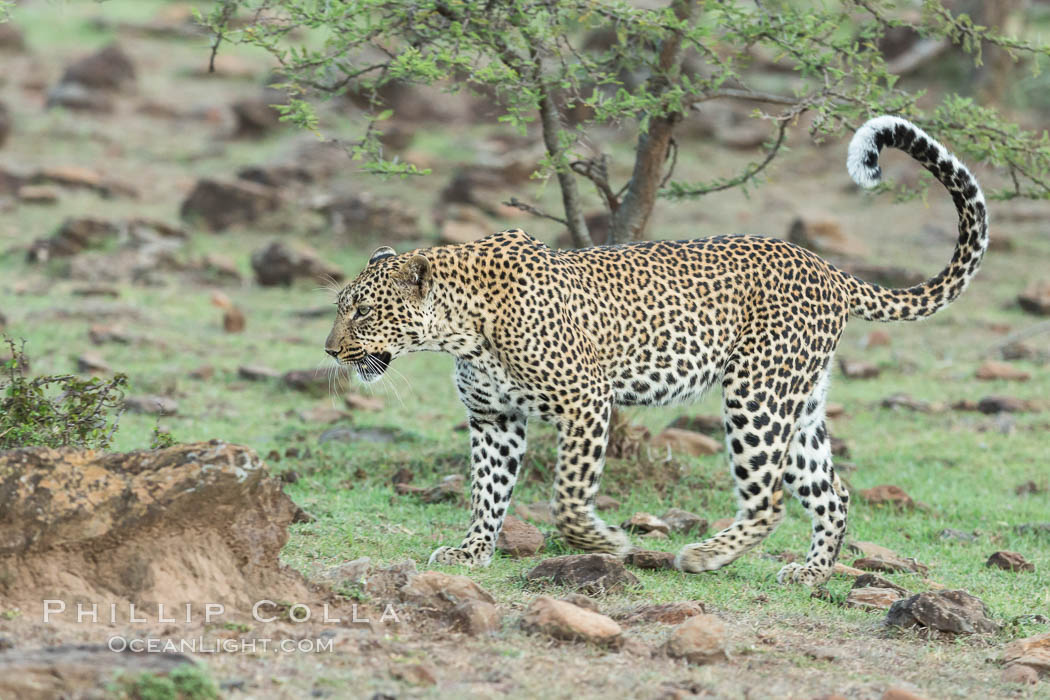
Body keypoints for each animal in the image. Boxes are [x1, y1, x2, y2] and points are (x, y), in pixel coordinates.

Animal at [323, 117, 986, 587]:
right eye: (341, 305)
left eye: (363, 311)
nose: (329, 351)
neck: (462, 328)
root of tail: (828, 269)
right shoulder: (494, 418)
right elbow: (487, 490)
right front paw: (471, 552)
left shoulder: (586, 402)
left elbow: (567, 497)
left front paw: (606, 545)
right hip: (797, 403)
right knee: (832, 491)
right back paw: (811, 572)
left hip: (755, 398)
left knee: (768, 501)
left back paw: (704, 556)